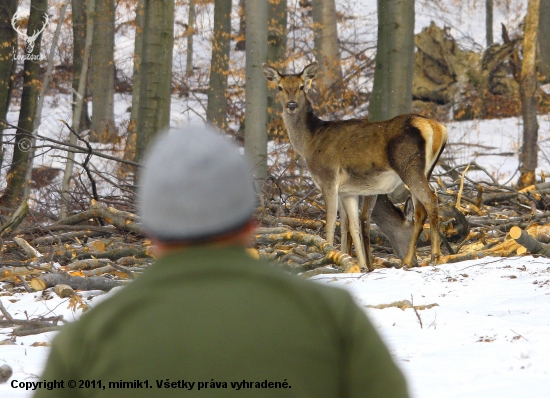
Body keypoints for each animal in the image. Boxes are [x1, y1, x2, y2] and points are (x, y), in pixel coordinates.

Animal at [264, 61, 448, 270]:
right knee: (420, 209)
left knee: (431, 199)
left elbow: (331, 222)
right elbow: (351, 225)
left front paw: (330, 257)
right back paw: (410, 260)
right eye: (280, 88)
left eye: (302, 86)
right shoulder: (348, 191)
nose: (291, 104)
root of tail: (438, 129)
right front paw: (358, 264)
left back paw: (434, 256)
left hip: (409, 166)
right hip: (426, 170)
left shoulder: (328, 178)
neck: (309, 142)